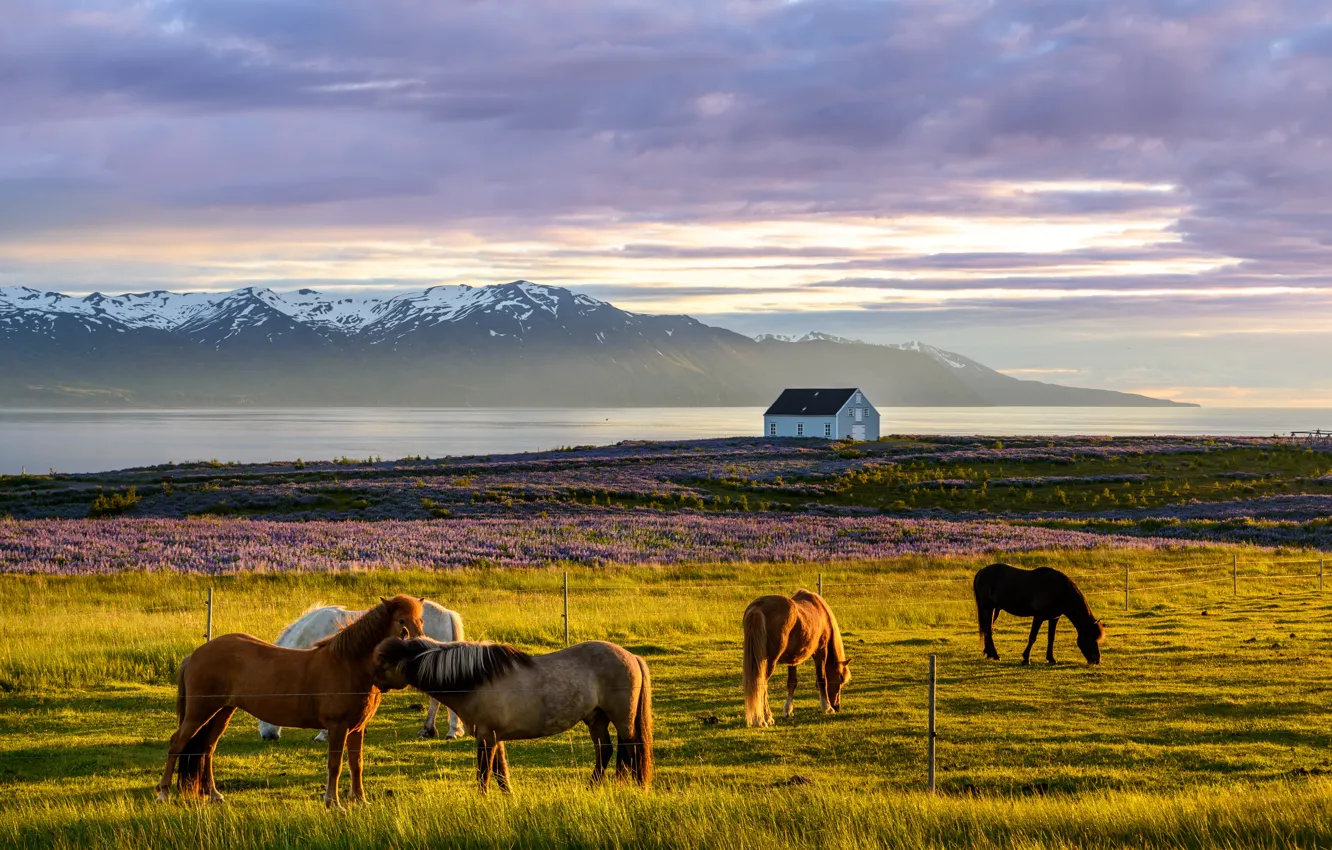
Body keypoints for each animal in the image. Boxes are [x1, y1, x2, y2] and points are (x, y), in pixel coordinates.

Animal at [155, 595, 425, 808]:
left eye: (420, 621)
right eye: (402, 621)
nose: (420, 649)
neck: (348, 664)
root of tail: (195, 654)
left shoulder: (357, 728)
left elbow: (355, 764)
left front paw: (360, 800)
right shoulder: (337, 727)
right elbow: (335, 765)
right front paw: (333, 803)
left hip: (222, 712)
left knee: (207, 750)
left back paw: (213, 795)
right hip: (199, 712)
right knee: (177, 743)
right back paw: (164, 793)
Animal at [373, 638, 653, 792]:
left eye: (383, 664)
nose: (372, 683)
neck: (476, 679)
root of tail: (631, 656)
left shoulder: (486, 737)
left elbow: (484, 774)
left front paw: (482, 801)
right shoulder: (494, 737)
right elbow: (500, 773)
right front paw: (509, 798)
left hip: (622, 719)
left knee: (633, 750)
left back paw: (638, 789)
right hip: (596, 718)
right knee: (605, 751)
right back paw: (593, 788)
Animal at [742, 589, 850, 728]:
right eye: (840, 680)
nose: (837, 707)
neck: (822, 612)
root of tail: (758, 607)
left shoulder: (793, 660)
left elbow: (792, 683)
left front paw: (788, 710)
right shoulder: (821, 652)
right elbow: (822, 679)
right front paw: (827, 708)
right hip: (768, 663)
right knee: (762, 685)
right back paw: (764, 719)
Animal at [973, 563, 1105, 665]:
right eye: (1092, 639)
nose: (1097, 660)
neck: (1060, 590)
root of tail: (981, 572)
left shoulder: (1054, 618)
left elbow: (1051, 638)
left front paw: (1051, 658)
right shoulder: (1038, 617)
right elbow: (1032, 637)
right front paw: (1026, 659)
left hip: (995, 609)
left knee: (987, 629)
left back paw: (989, 654)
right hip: (988, 608)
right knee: (988, 630)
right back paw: (995, 655)